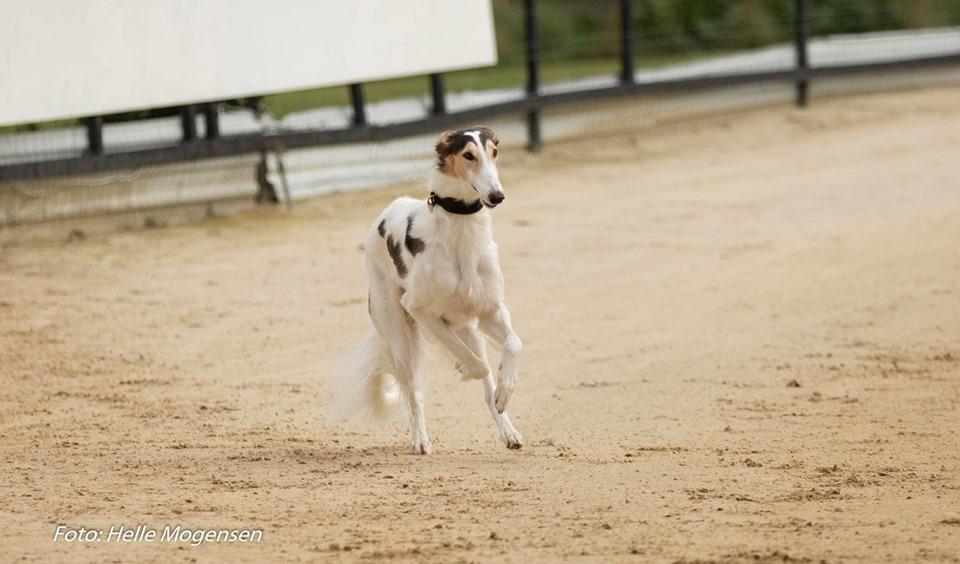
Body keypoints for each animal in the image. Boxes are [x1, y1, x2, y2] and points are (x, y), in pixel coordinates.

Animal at [332, 125, 524, 452]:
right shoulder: (419, 308)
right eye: (468, 155)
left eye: (494, 152)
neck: (462, 237)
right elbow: (479, 367)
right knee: (414, 392)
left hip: (468, 329)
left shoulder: (490, 311)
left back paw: (508, 432)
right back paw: (420, 440)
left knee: (483, 384)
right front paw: (468, 370)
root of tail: (385, 213)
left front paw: (504, 389)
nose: (497, 196)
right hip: (401, 337)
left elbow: (512, 346)